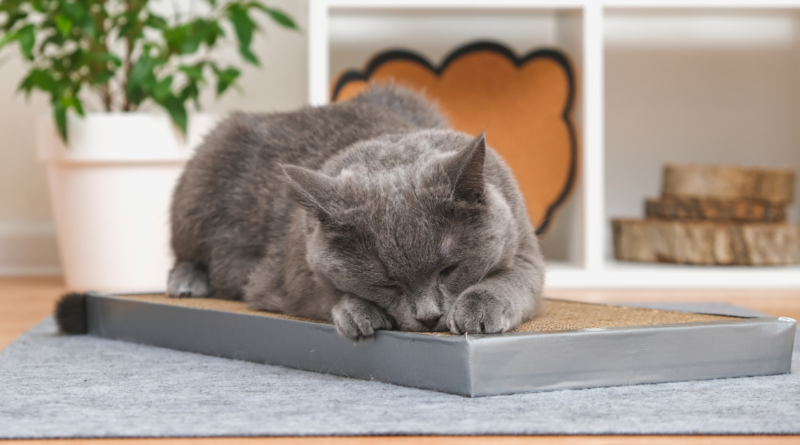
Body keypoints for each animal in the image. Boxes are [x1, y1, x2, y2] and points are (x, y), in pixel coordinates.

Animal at [167, 85, 544, 338]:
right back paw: (186, 282)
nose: (429, 317)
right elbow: (327, 292)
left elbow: (514, 280)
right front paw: (357, 310)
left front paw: (478, 307)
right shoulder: (289, 277)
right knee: (185, 252)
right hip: (201, 178)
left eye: (450, 269)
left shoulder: (525, 248)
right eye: (387, 283)